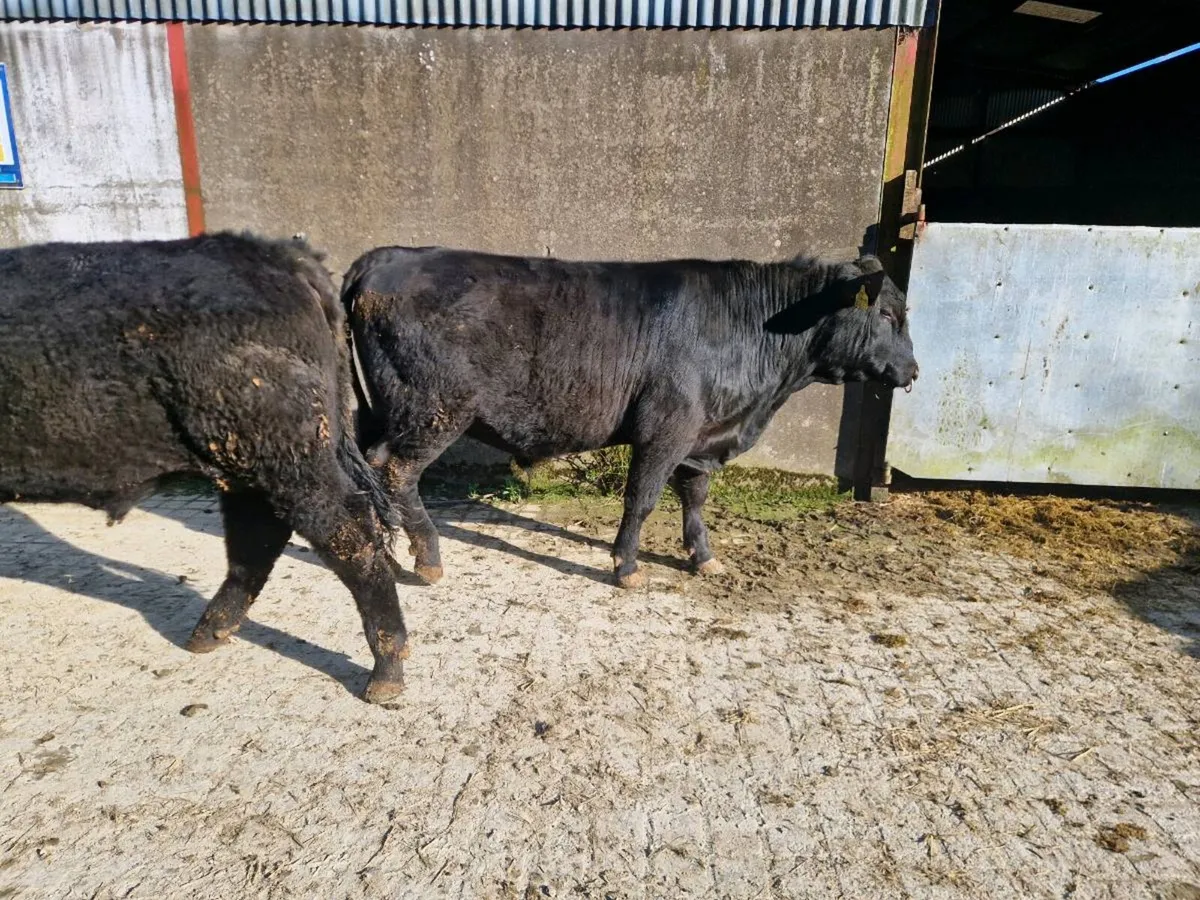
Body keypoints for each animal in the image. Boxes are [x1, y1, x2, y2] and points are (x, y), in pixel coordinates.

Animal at [0, 232, 407, 703]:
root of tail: (278, 254)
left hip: (285, 454)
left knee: (348, 535)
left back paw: (384, 676)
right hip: (248, 460)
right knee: (258, 536)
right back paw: (206, 635)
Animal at [342, 247, 919, 589]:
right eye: (890, 314)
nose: (913, 370)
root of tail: (386, 257)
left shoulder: (702, 437)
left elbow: (694, 497)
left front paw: (702, 556)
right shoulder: (666, 428)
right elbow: (642, 498)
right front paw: (627, 566)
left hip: (381, 410)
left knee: (369, 467)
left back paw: (384, 542)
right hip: (433, 410)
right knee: (396, 470)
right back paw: (427, 558)